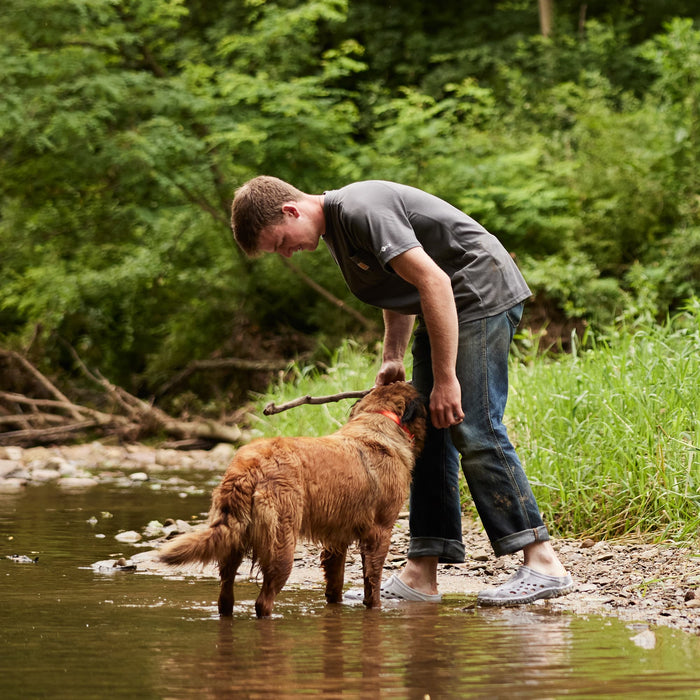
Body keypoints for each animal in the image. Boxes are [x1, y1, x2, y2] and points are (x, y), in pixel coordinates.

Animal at [159, 382, 426, 616]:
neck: (378, 421)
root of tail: (248, 467)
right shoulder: (379, 532)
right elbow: (372, 583)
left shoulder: (336, 539)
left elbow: (335, 584)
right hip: (282, 545)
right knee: (263, 601)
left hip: (232, 544)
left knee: (225, 597)